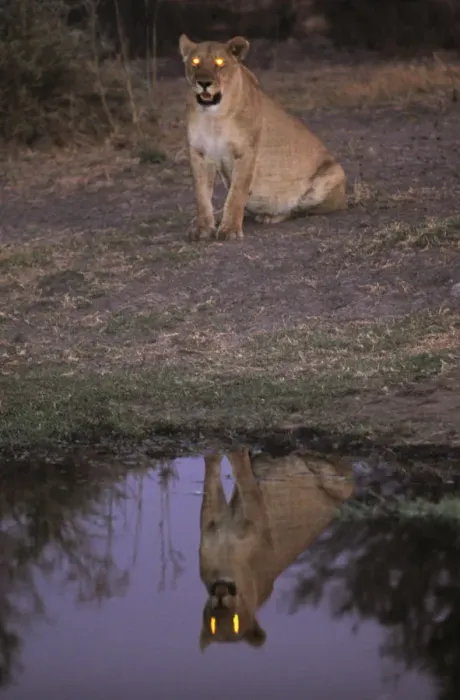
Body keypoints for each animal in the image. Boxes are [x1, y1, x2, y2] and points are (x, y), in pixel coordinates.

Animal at [179, 34, 347, 242]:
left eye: (220, 63)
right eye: (195, 62)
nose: (204, 82)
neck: (213, 116)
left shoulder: (246, 153)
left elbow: (236, 194)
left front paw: (230, 229)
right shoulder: (199, 154)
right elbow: (202, 196)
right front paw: (202, 228)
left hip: (333, 174)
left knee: (299, 209)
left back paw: (270, 215)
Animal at [198, 447, 354, 650]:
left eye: (236, 622)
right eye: (213, 623)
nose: (221, 594)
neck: (226, 564)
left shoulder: (256, 513)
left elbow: (243, 475)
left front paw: (237, 452)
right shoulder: (211, 526)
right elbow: (211, 474)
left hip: (339, 484)